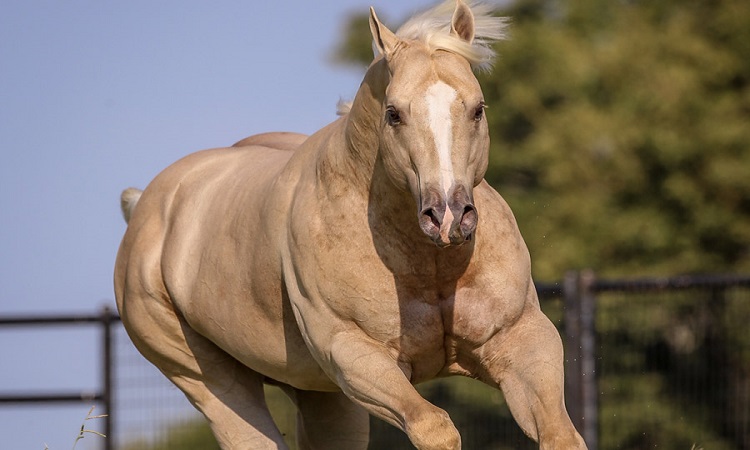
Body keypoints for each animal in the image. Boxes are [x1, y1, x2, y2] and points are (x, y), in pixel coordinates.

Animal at [114, 1, 592, 448]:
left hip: (321, 395)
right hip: (214, 384)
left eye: (478, 108)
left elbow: (561, 435)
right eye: (394, 113)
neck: (429, 265)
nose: (448, 217)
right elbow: (435, 427)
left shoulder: (521, 341)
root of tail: (147, 207)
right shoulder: (356, 358)